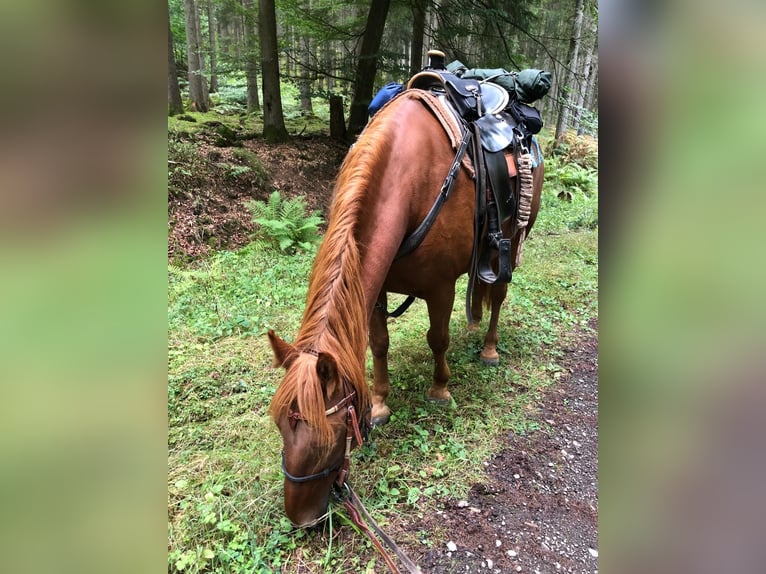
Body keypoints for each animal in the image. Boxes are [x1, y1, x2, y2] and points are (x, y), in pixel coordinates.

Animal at [270, 91, 544, 532]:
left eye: (328, 438)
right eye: (280, 426)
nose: (301, 520)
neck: (407, 181)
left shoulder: (440, 287)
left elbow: (438, 339)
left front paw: (439, 389)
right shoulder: (376, 285)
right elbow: (379, 343)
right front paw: (381, 402)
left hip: (512, 244)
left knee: (498, 296)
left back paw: (488, 348)